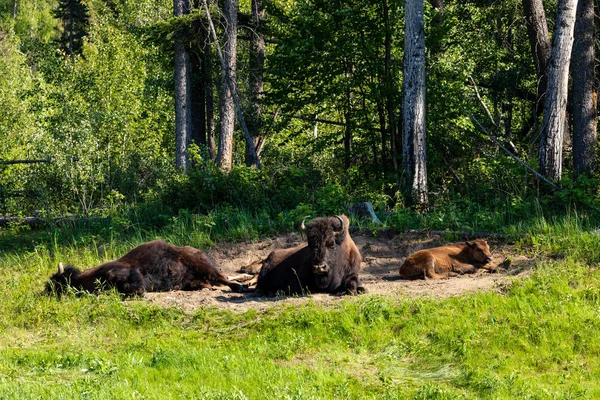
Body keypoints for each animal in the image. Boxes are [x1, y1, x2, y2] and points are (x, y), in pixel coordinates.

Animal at [44, 239, 246, 296]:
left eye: (56, 284)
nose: (45, 293)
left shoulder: (125, 273)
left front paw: (139, 292)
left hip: (202, 265)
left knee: (221, 277)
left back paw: (238, 287)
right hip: (192, 280)